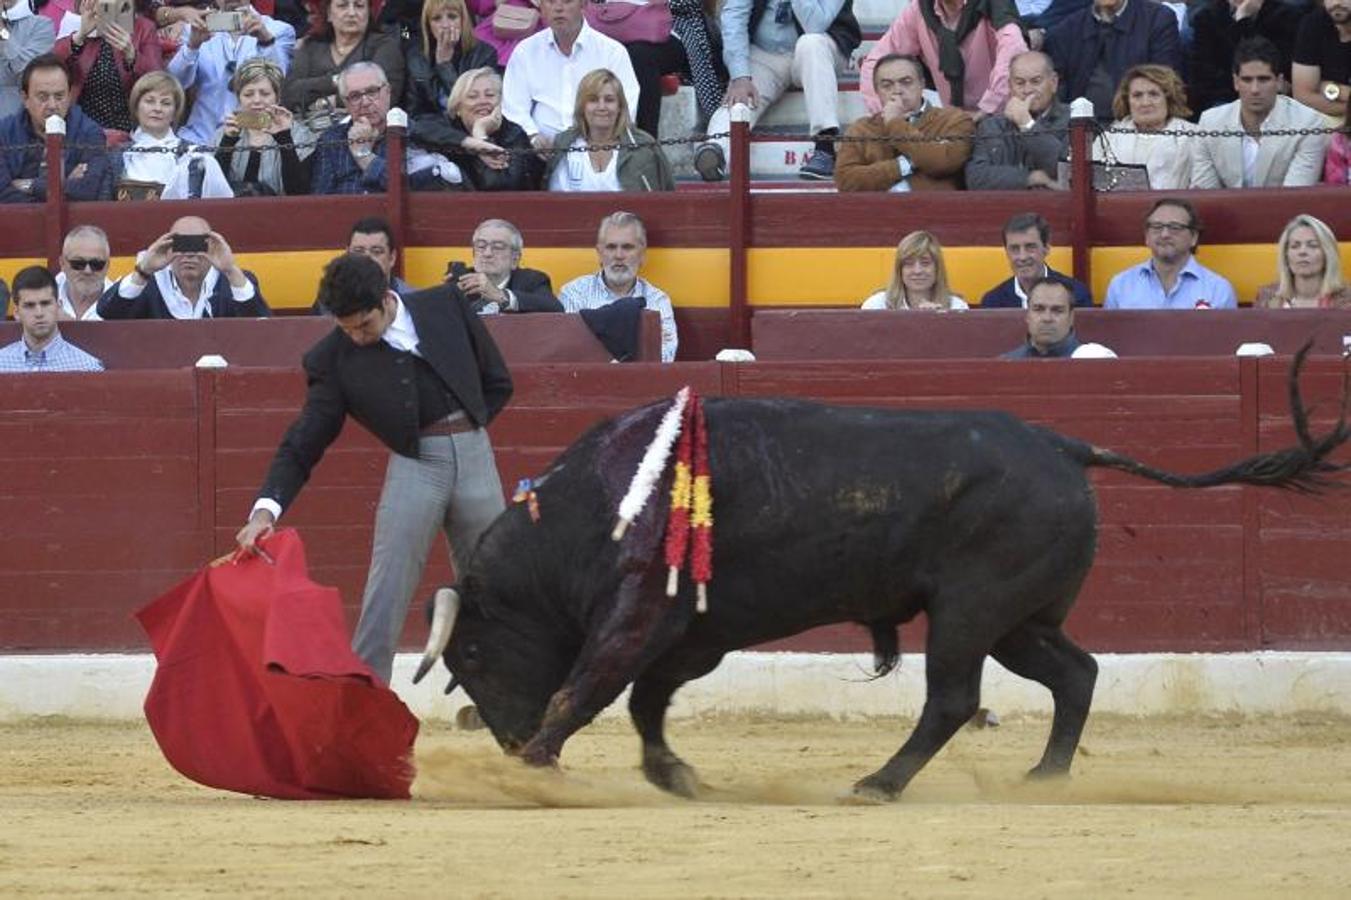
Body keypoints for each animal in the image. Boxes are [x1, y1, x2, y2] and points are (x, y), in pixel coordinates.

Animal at [416, 351, 1345, 800]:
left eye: (471, 656)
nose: (502, 740)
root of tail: (1062, 443)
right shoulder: (693, 635)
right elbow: (645, 703)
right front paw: (672, 775)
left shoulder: (640, 615)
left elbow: (590, 687)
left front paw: (535, 770)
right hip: (1016, 619)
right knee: (1073, 672)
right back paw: (1042, 777)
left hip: (969, 611)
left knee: (954, 699)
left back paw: (876, 783)